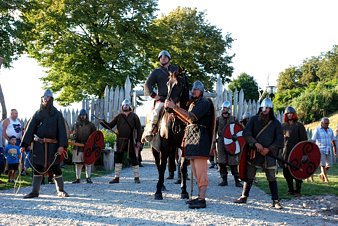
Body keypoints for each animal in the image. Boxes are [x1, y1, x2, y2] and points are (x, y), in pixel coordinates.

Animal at [151, 67, 190, 200]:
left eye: (178, 84)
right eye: (168, 84)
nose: (168, 106)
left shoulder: (183, 146)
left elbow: (183, 167)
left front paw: (184, 191)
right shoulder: (164, 145)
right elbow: (162, 166)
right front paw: (158, 192)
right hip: (156, 148)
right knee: (158, 165)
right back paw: (161, 185)